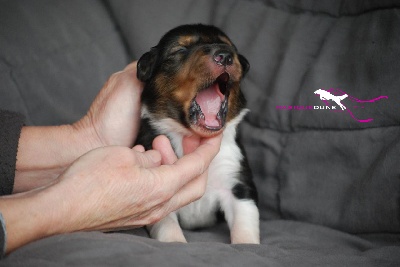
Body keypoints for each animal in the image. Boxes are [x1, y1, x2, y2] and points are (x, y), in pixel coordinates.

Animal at [135, 24, 260, 244]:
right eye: (180, 50)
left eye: (229, 46)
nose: (225, 56)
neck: (193, 136)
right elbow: (167, 225)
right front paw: (175, 242)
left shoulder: (237, 181)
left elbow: (245, 221)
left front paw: (247, 245)